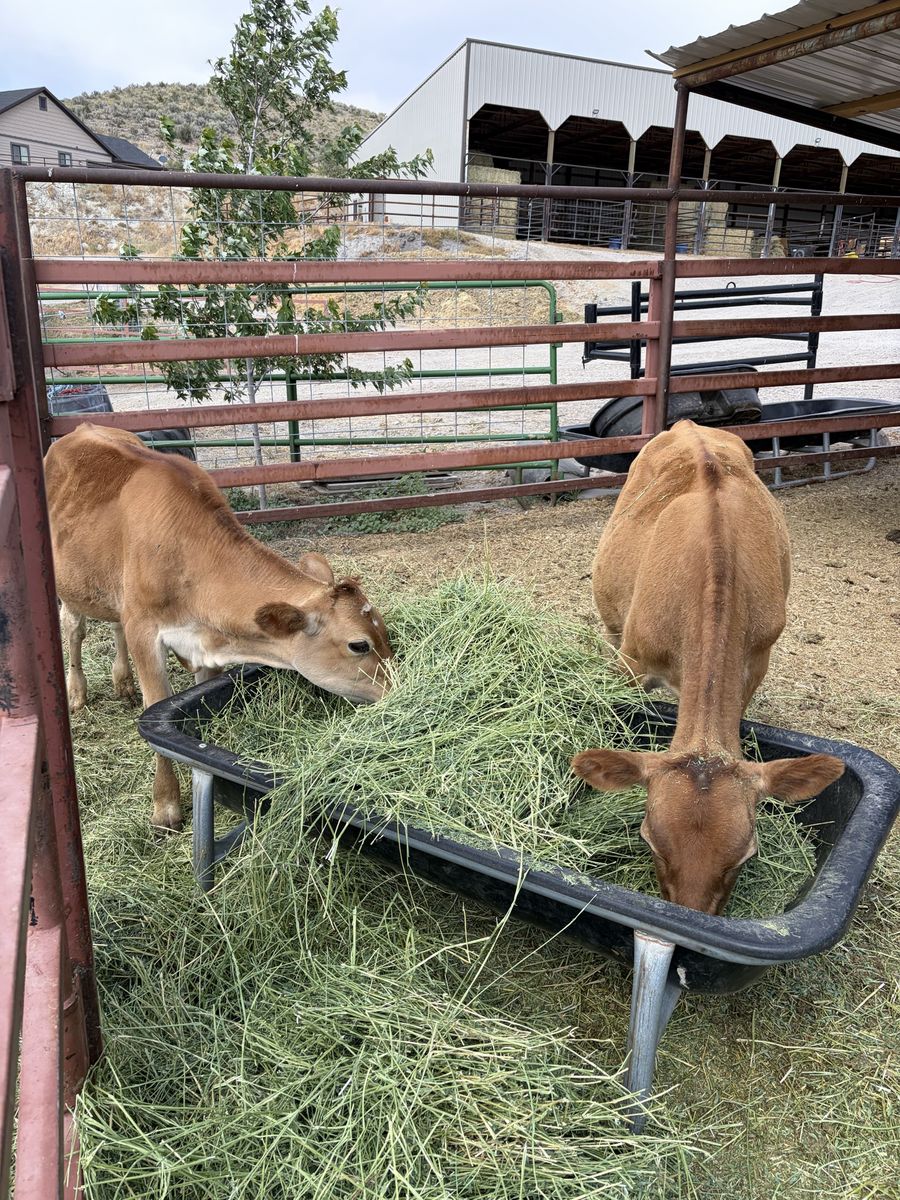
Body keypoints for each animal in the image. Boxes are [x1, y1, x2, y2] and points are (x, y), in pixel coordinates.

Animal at [45, 424, 392, 833]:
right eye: (359, 645)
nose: (398, 690)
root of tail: (80, 429)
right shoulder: (145, 630)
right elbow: (155, 705)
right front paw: (165, 807)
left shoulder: (201, 644)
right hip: (70, 584)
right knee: (74, 629)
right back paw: (77, 693)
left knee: (114, 626)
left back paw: (122, 683)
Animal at [572, 420, 844, 914]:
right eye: (649, 840)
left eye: (746, 854)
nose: (693, 916)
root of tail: (689, 424)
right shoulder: (633, 659)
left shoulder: (756, 659)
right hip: (613, 622)